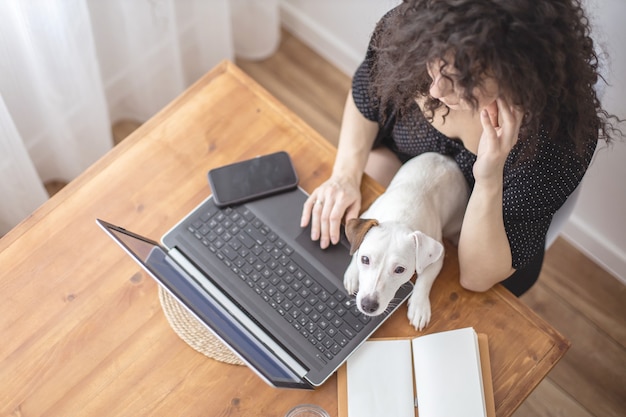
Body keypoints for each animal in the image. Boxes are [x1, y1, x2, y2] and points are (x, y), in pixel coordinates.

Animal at [342, 151, 468, 330]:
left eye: (400, 270)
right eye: (365, 259)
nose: (368, 305)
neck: (400, 216)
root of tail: (447, 158)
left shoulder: (437, 257)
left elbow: (425, 280)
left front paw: (419, 306)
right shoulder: (367, 215)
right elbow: (355, 249)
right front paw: (353, 274)